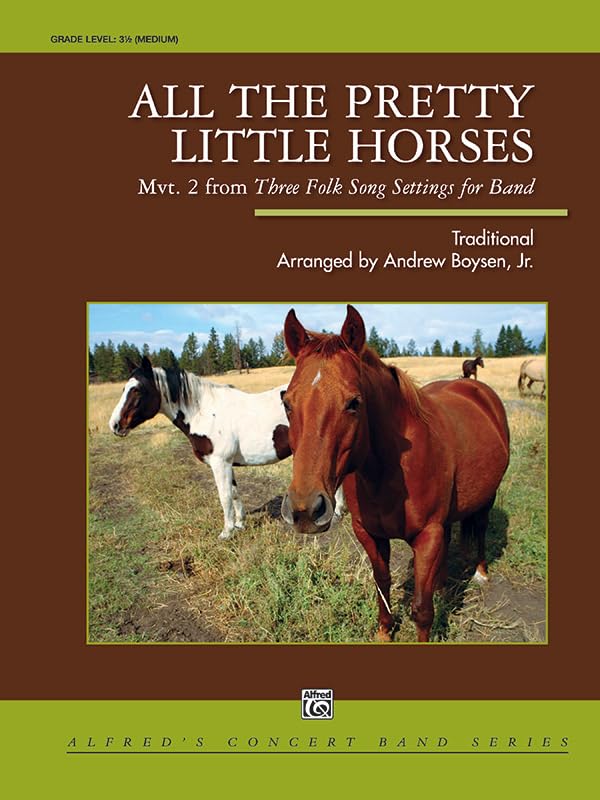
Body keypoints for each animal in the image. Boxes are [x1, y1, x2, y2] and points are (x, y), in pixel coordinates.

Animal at [109, 357, 345, 540]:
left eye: (137, 390)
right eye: (123, 388)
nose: (115, 425)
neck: (204, 412)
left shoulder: (219, 463)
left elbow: (224, 497)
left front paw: (227, 532)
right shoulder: (228, 463)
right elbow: (234, 493)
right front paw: (239, 524)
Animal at [280, 305, 510, 642]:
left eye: (354, 403)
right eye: (286, 402)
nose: (305, 510)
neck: (387, 472)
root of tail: (476, 388)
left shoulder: (427, 535)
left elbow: (422, 610)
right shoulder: (369, 534)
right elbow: (382, 583)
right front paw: (384, 631)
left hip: (488, 496)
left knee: (480, 527)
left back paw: (480, 572)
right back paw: (442, 585)